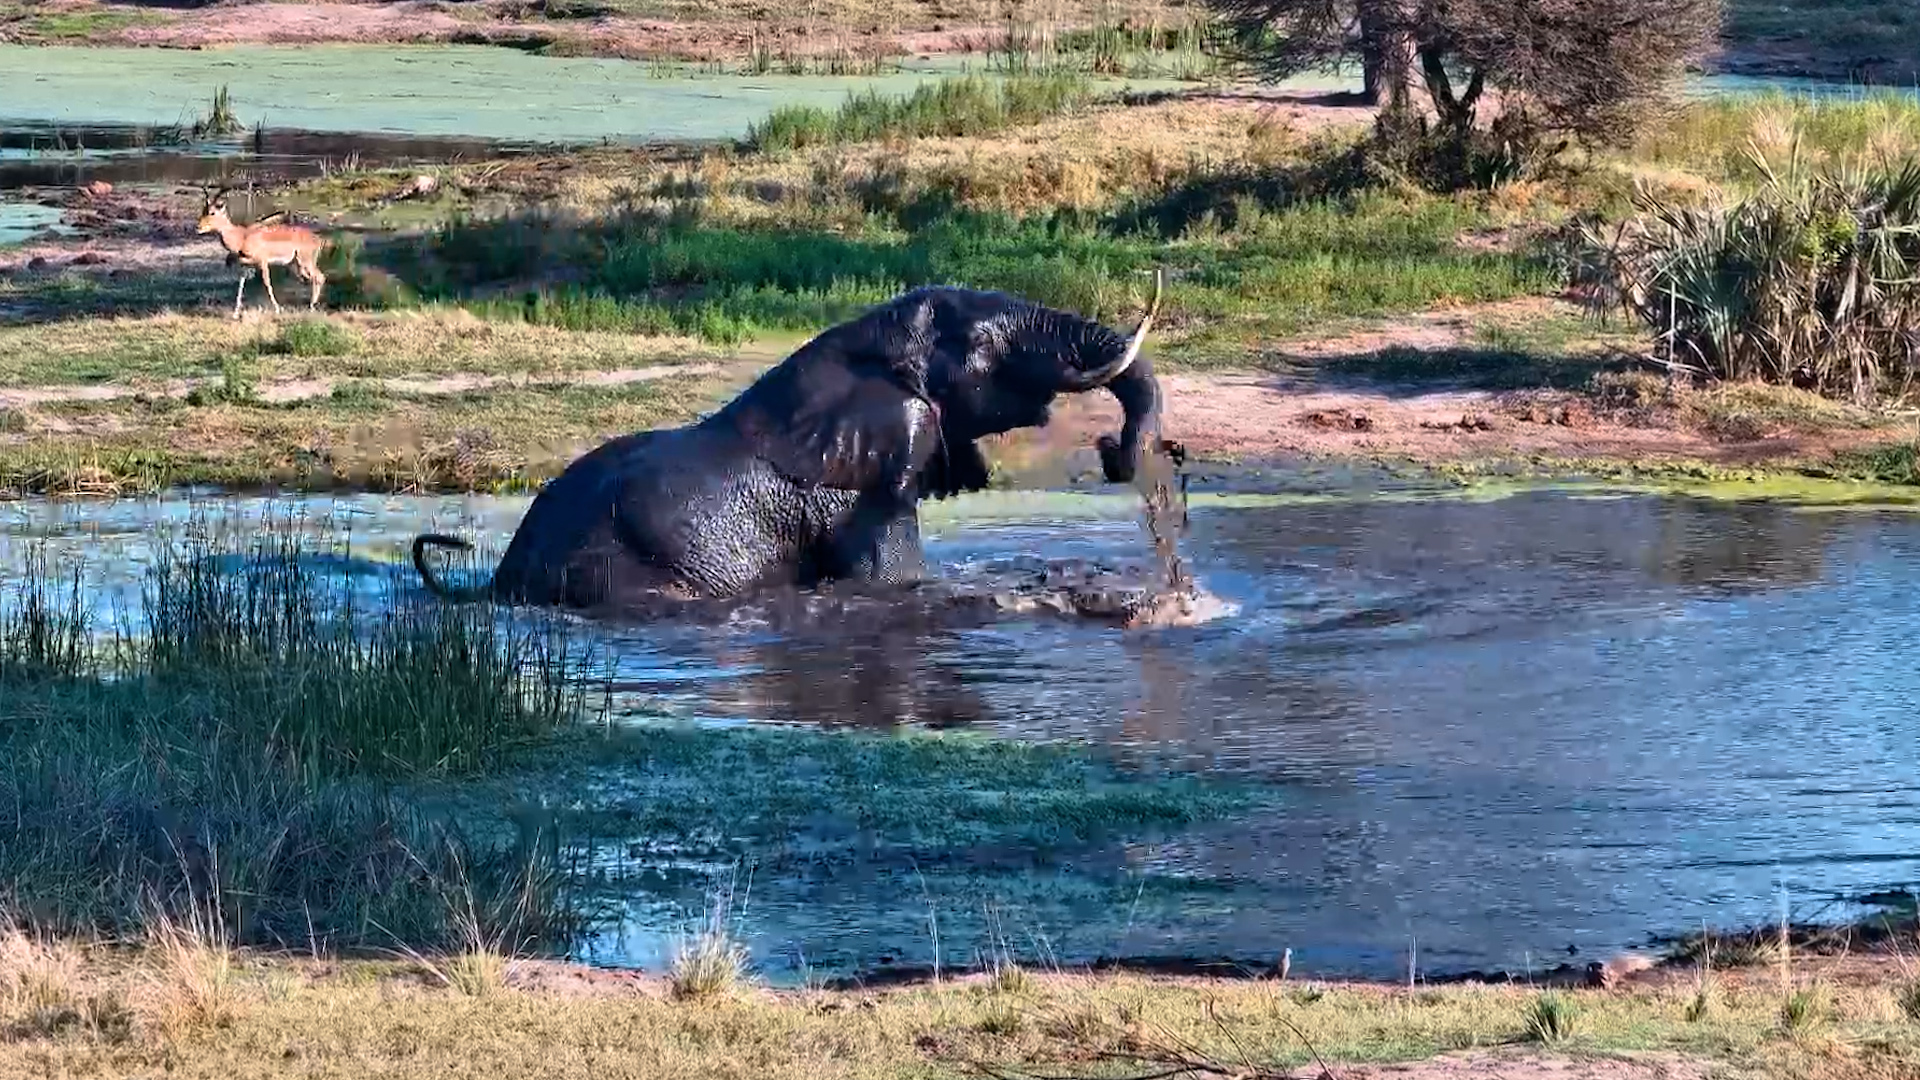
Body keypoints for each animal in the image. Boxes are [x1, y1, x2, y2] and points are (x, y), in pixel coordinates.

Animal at [410, 273, 1168, 612]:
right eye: (984, 344)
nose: (1114, 453)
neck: (860, 345)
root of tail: (498, 582)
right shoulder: (858, 496)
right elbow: (893, 581)